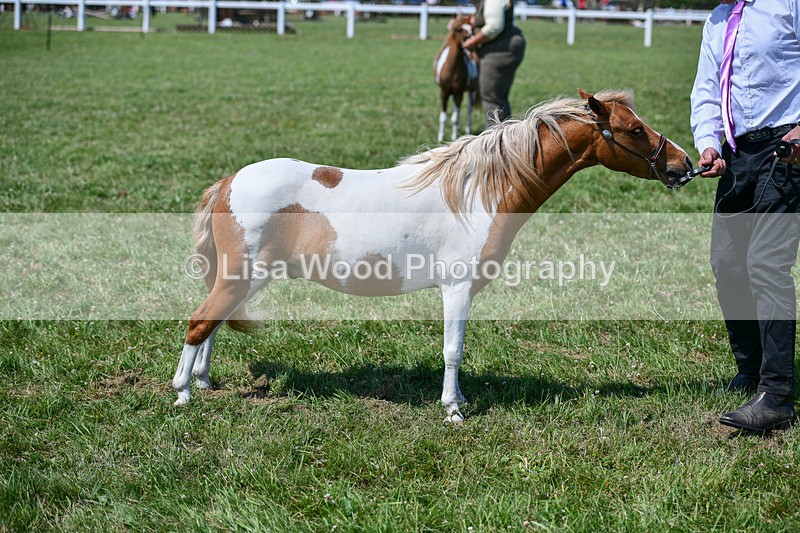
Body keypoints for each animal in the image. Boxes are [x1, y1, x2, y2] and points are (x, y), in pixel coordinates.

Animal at [172, 89, 694, 422]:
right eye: (633, 129)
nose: (683, 164)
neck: (479, 192)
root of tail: (229, 181)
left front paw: (457, 400)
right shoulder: (456, 288)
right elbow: (452, 350)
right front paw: (453, 411)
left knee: (213, 322)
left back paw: (204, 381)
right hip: (243, 277)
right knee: (200, 322)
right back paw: (182, 396)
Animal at [434, 15, 480, 143]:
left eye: (472, 29)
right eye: (459, 30)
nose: (472, 45)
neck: (451, 70)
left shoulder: (459, 93)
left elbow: (455, 118)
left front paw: (454, 138)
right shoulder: (444, 93)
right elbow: (443, 117)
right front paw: (440, 138)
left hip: (472, 91)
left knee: (469, 110)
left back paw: (468, 130)